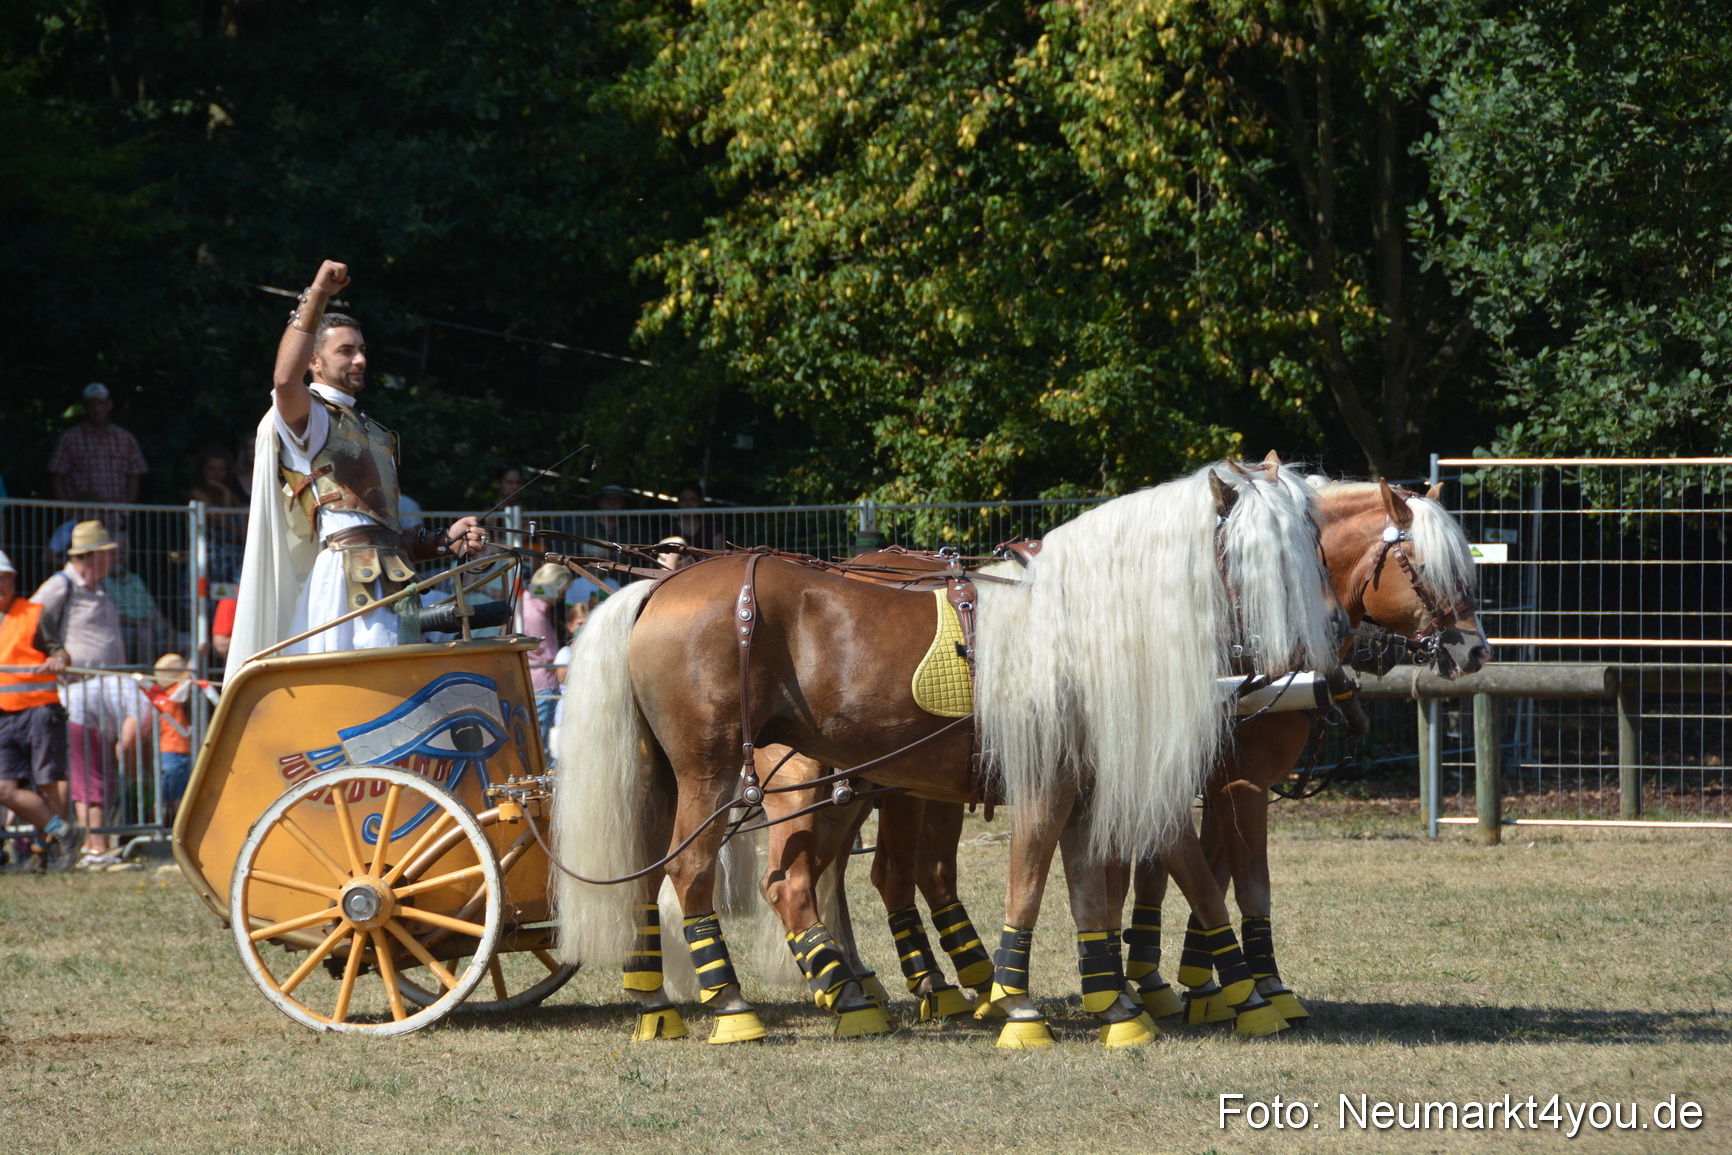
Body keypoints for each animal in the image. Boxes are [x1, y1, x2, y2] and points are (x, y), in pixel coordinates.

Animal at [550, 460, 1342, 1047]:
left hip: (686, 776)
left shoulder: (1093, 785)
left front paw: (1119, 1003)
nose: (1319, 665)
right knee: (698, 871)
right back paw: (737, 1004)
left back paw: (691, 1000)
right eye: (1261, 557)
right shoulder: (1054, 781)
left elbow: (1098, 888)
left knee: (700, 872)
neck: (1079, 625)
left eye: (1312, 546)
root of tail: (660, 586)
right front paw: (1020, 1005)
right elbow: (1034, 879)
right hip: (718, 773)